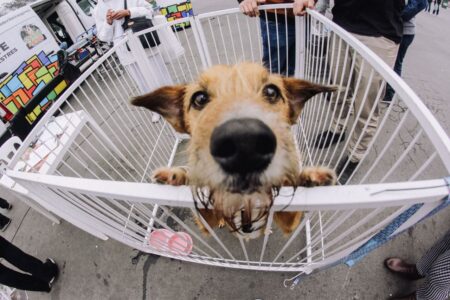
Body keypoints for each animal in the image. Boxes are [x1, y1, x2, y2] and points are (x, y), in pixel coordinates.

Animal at [132, 62, 336, 239]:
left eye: (271, 91)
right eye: (200, 98)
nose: (245, 144)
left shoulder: (287, 220)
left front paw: (310, 177)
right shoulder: (208, 221)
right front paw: (176, 177)